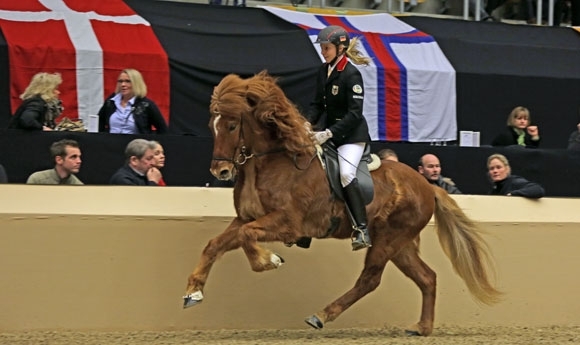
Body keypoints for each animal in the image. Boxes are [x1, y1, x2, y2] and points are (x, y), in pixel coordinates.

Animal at [184, 71, 500, 334]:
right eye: (212, 126)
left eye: (232, 125)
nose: (220, 171)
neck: (272, 162)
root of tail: (427, 185)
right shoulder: (247, 217)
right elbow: (217, 243)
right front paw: (192, 293)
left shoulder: (287, 224)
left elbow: (246, 236)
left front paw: (268, 260)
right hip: (401, 244)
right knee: (427, 277)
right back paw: (421, 328)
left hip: (388, 239)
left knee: (370, 280)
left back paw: (322, 315)